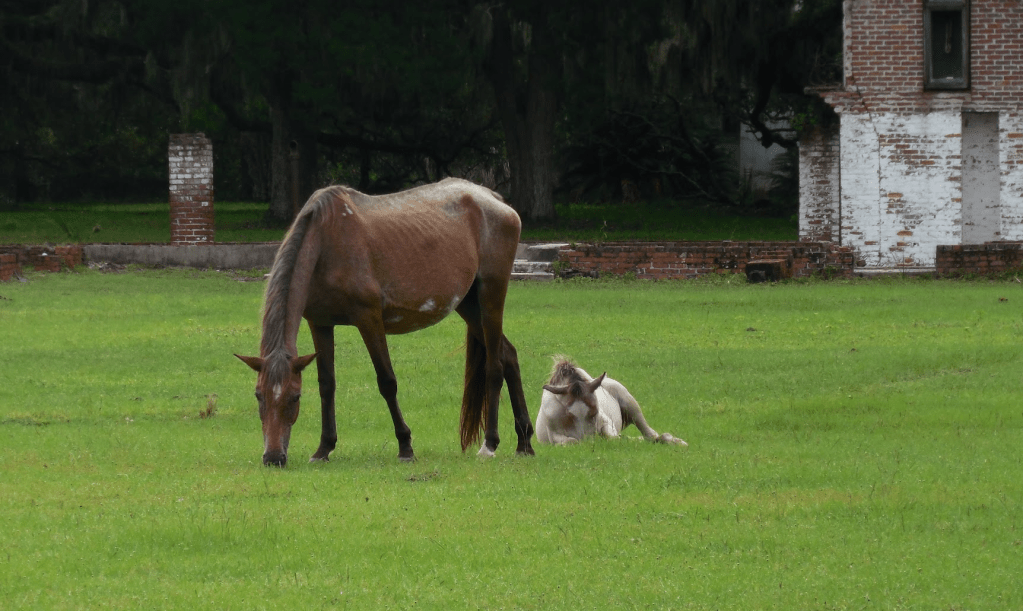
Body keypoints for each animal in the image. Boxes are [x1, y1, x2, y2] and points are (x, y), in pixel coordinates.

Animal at [235, 178, 535, 466]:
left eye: (294, 397)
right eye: (258, 395)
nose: (273, 458)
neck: (325, 242)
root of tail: (494, 200)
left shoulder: (369, 319)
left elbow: (387, 382)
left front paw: (405, 446)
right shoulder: (320, 324)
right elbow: (326, 384)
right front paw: (324, 448)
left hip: (491, 295)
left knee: (495, 366)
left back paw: (490, 443)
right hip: (469, 305)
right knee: (509, 356)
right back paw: (524, 441)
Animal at [535, 359, 687, 446]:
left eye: (595, 412)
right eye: (569, 415)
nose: (590, 443)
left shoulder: (606, 422)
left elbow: (611, 436)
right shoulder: (554, 435)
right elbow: (572, 441)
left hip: (630, 403)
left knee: (650, 434)